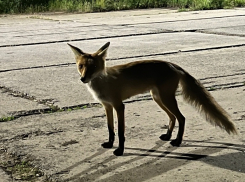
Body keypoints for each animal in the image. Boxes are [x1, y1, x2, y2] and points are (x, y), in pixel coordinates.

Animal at [68, 42, 236, 156]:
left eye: (94, 67)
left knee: (181, 118)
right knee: (173, 117)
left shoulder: (119, 106)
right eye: (81, 66)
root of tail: (172, 64)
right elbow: (111, 129)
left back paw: (177, 141)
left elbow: (121, 132)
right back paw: (168, 136)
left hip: (166, 98)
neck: (103, 82)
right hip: (157, 98)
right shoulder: (107, 106)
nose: (83, 79)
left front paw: (120, 150)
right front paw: (110, 144)